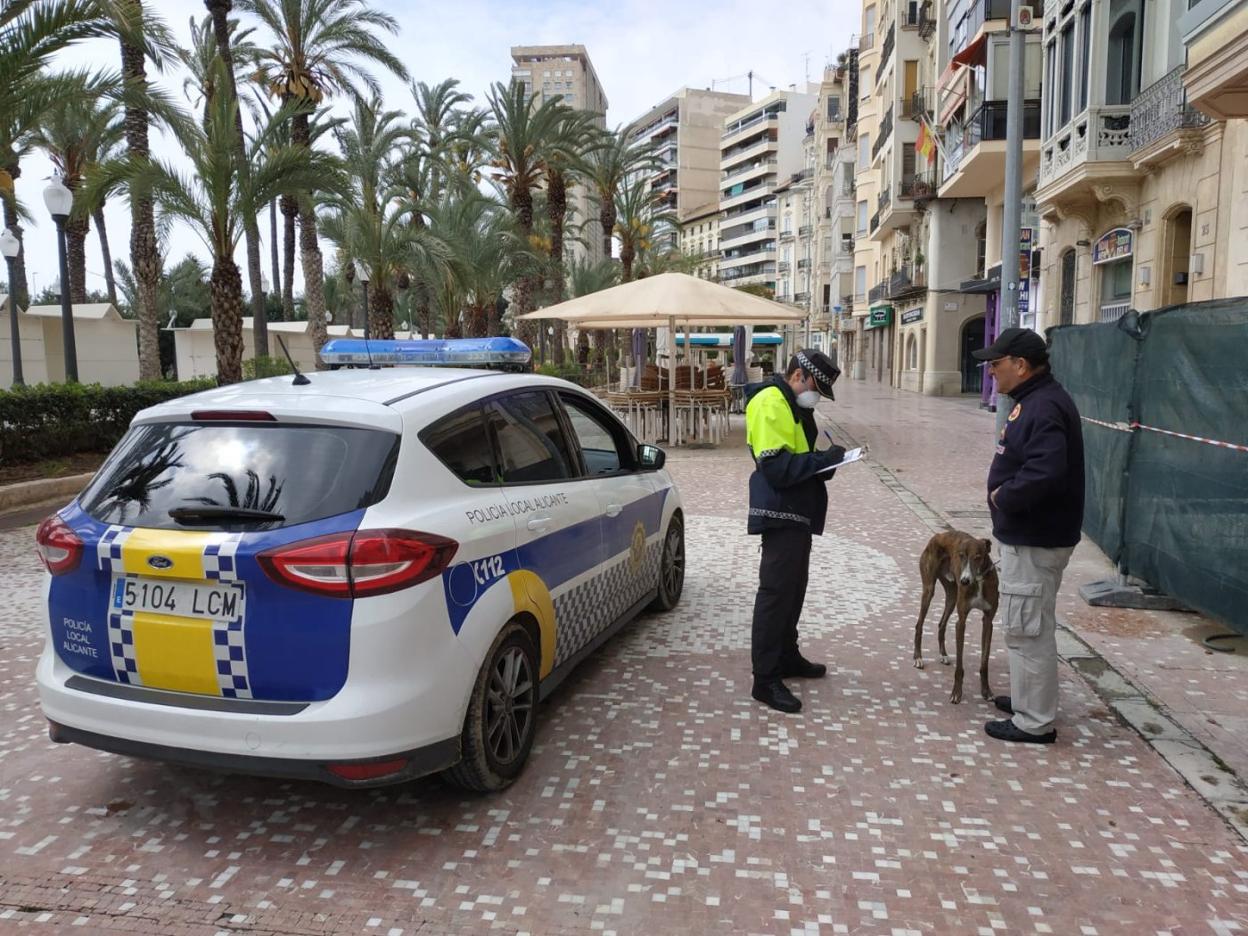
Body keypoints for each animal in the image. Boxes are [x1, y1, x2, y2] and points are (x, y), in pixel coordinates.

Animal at [913, 534, 998, 703]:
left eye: (978, 557)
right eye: (961, 556)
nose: (964, 581)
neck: (978, 581)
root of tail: (936, 536)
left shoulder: (988, 621)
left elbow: (984, 663)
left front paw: (986, 691)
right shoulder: (962, 622)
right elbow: (959, 666)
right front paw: (956, 693)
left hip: (952, 596)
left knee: (941, 624)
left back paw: (943, 654)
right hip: (929, 590)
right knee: (919, 624)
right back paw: (918, 657)